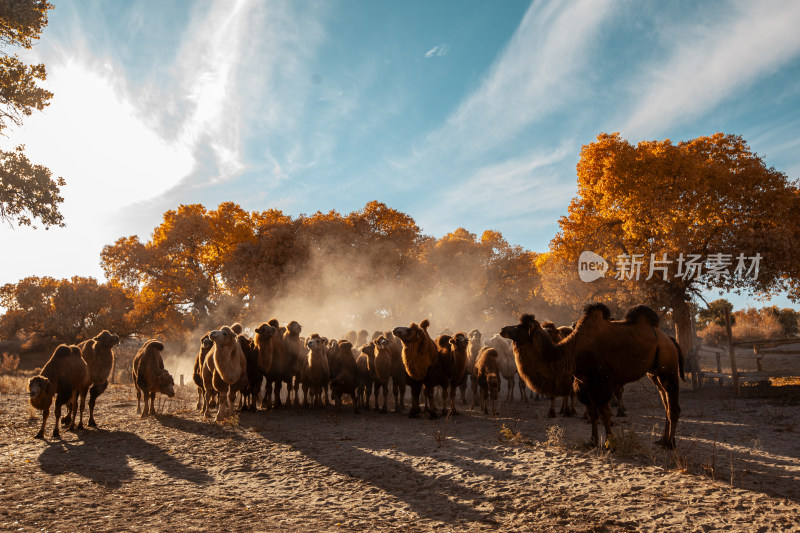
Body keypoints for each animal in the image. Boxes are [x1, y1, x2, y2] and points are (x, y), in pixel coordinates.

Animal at [500, 304, 680, 448]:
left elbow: (605, 413)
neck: (572, 353)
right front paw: (593, 441)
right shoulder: (584, 383)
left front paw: (609, 443)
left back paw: (670, 444)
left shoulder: (599, 381)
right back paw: (662, 440)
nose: (502, 329)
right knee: (665, 403)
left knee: (672, 406)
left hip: (668, 367)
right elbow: (593, 413)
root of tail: (669, 338)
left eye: (520, 326)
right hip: (654, 373)